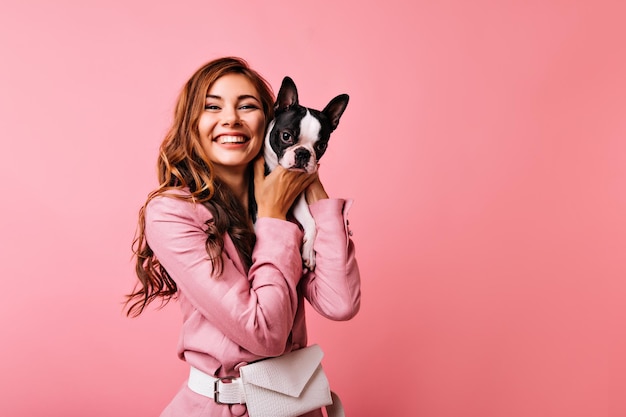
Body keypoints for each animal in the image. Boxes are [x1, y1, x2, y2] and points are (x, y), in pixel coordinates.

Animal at [258, 76, 346, 268]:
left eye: (321, 145)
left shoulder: (296, 198)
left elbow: (311, 222)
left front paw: (309, 254)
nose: (303, 153)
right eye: (286, 136)